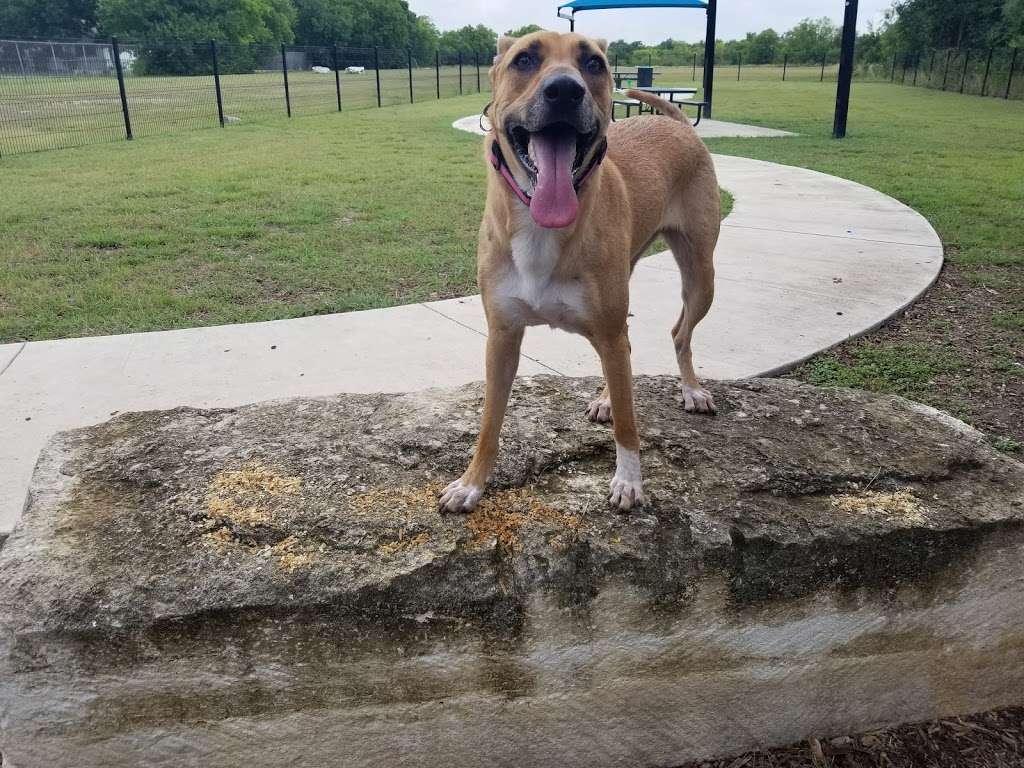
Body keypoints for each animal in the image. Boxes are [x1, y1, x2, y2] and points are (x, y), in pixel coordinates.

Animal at [440, 33, 720, 518]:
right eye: (524, 59)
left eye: (593, 64)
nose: (565, 91)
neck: (541, 226)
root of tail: (680, 125)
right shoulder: (502, 336)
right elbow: (489, 422)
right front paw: (471, 483)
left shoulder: (606, 327)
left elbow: (628, 423)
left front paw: (629, 481)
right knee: (627, 353)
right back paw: (611, 395)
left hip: (701, 275)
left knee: (677, 334)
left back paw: (690, 389)